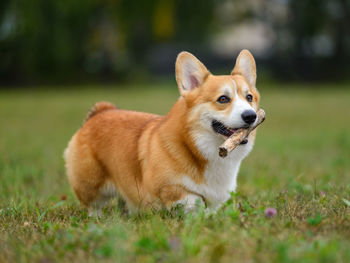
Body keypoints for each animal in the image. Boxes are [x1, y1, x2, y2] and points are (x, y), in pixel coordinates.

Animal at [63, 50, 260, 217]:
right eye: (223, 99)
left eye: (249, 97)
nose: (251, 116)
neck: (198, 147)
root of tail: (100, 111)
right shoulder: (165, 187)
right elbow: (192, 199)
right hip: (90, 185)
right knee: (92, 206)